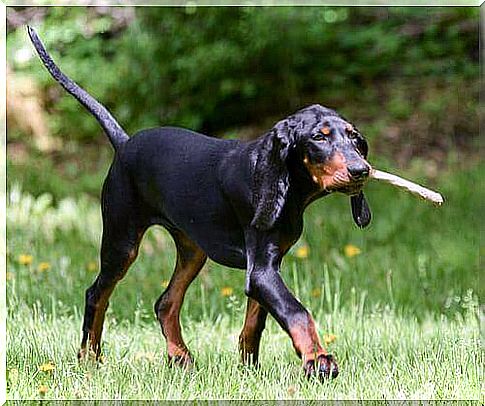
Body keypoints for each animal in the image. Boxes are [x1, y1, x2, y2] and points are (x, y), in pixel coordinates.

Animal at [27, 25, 370, 380]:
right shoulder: (262, 270)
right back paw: (90, 358)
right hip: (122, 241)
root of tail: (124, 143)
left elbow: (256, 320)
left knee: (165, 302)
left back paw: (180, 357)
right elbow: (297, 311)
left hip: (192, 249)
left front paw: (249, 369)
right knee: (97, 294)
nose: (361, 170)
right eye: (319, 137)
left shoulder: (265, 267)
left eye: (354, 137)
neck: (291, 188)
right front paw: (318, 359)